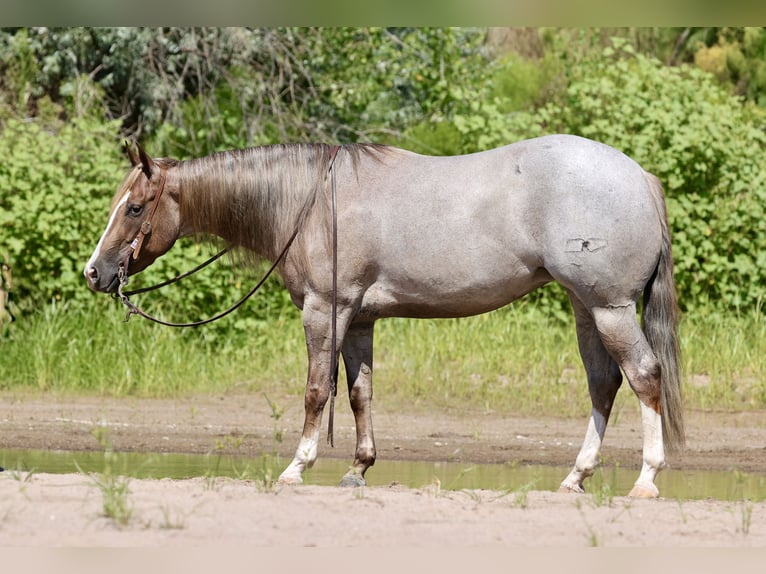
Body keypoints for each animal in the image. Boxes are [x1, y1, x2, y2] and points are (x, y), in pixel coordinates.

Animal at [84, 134, 684, 498]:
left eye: (134, 208)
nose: (95, 273)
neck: (310, 202)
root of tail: (641, 178)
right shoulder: (359, 320)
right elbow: (358, 394)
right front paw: (358, 468)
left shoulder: (325, 312)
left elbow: (315, 391)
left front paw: (297, 466)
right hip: (587, 309)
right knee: (604, 384)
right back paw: (576, 476)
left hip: (609, 308)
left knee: (643, 376)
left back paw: (647, 478)